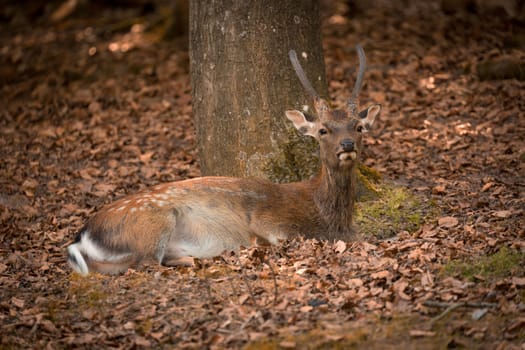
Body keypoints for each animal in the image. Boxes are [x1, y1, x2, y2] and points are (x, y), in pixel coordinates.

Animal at [67, 45, 380, 276]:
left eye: (358, 127)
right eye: (323, 130)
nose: (347, 144)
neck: (325, 216)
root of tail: (81, 237)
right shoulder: (269, 223)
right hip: (153, 222)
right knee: (144, 263)